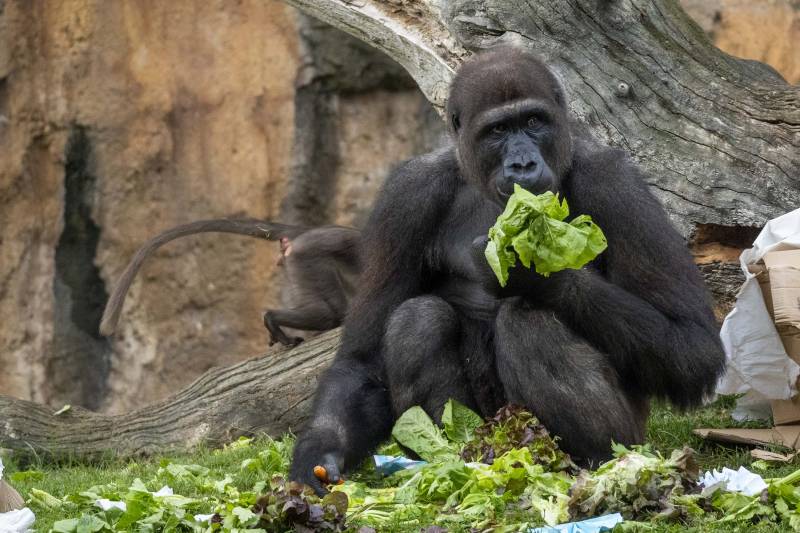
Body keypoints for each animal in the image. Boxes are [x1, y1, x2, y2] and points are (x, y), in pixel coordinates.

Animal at [290, 47, 724, 492]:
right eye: (497, 130)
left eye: (533, 121)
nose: (523, 164)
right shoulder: (407, 194)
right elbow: (361, 361)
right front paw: (318, 454)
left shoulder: (615, 181)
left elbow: (692, 343)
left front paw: (534, 273)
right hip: (485, 431)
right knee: (418, 318)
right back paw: (454, 454)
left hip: (629, 437)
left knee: (528, 320)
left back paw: (589, 462)